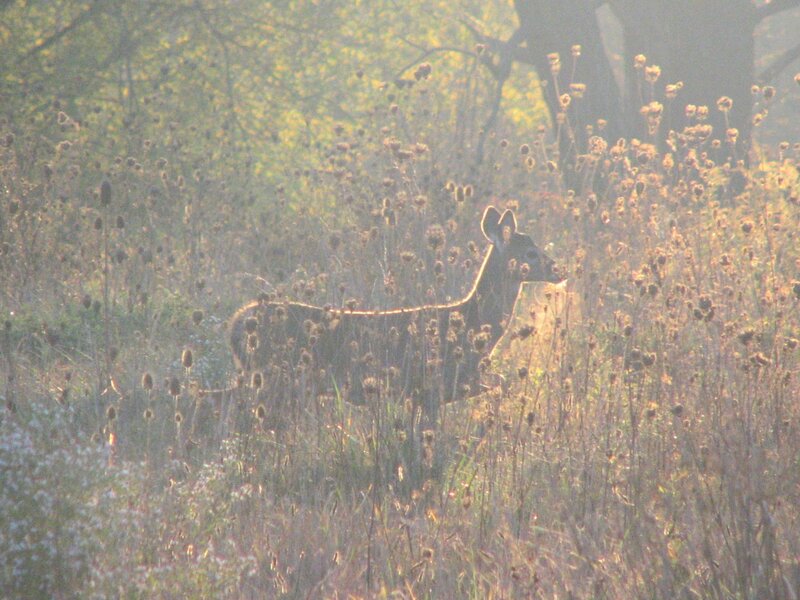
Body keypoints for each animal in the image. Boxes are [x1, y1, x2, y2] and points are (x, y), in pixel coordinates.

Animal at [226, 206, 564, 428]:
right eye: (530, 253)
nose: (561, 270)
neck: (473, 325)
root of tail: (239, 323)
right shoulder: (433, 385)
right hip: (280, 379)